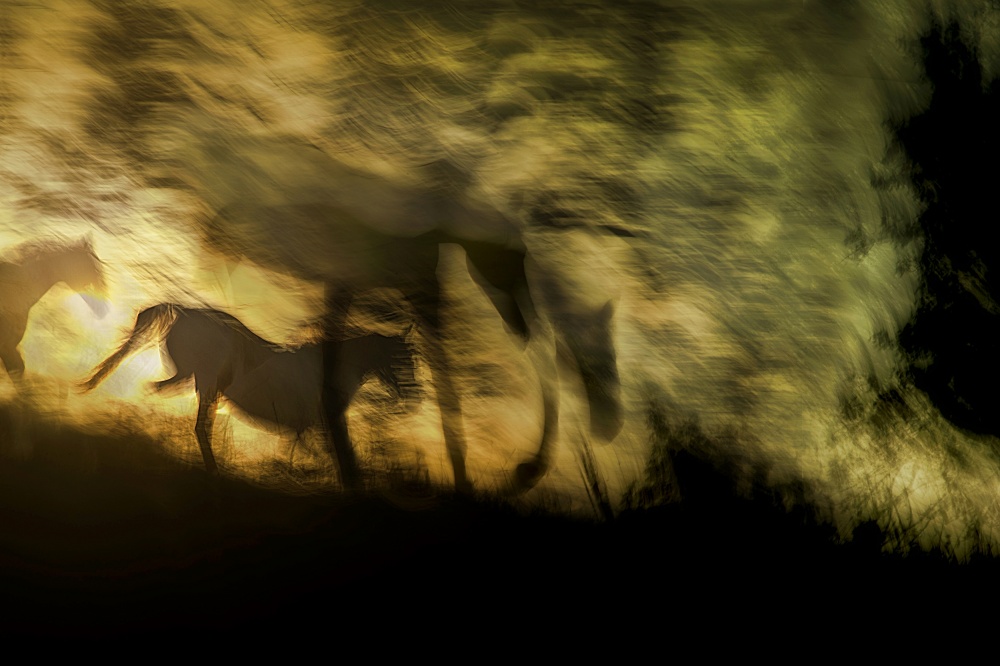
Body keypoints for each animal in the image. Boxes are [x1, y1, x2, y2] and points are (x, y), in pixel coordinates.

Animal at [79, 303, 418, 478]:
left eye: (413, 358)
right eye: (399, 359)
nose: (413, 396)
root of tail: (185, 311)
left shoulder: (304, 427)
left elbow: (304, 453)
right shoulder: (318, 424)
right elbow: (323, 457)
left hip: (195, 381)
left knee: (159, 394)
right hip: (205, 382)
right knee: (198, 425)